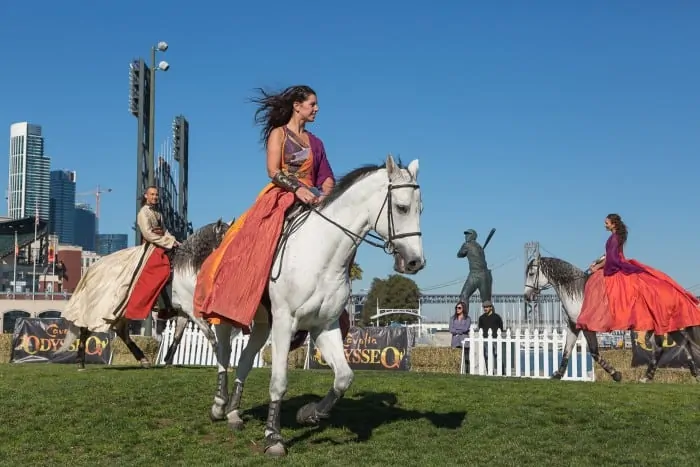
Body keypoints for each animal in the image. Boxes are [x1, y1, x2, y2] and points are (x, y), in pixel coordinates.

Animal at [55, 219, 230, 370]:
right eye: (224, 238)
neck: (187, 270)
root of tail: (92, 268)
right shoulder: (191, 311)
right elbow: (211, 335)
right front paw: (223, 363)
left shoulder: (184, 312)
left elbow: (177, 337)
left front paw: (167, 361)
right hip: (98, 308)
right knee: (85, 329)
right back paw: (81, 363)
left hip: (121, 311)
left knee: (122, 332)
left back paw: (143, 359)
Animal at [201, 155, 422, 458]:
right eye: (401, 208)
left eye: (420, 208)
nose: (415, 262)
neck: (322, 255)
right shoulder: (285, 323)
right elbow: (279, 381)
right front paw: (273, 437)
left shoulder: (324, 327)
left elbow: (344, 377)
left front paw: (310, 414)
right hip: (225, 319)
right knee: (223, 355)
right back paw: (219, 406)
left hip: (262, 325)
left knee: (244, 359)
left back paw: (234, 414)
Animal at [524, 256, 700, 384]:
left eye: (531, 274)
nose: (527, 296)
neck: (579, 294)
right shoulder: (574, 326)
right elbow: (567, 350)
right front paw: (557, 375)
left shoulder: (587, 328)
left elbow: (594, 352)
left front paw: (616, 374)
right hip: (670, 325)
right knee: (682, 343)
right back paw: (693, 372)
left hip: (657, 325)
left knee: (661, 348)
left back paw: (647, 377)